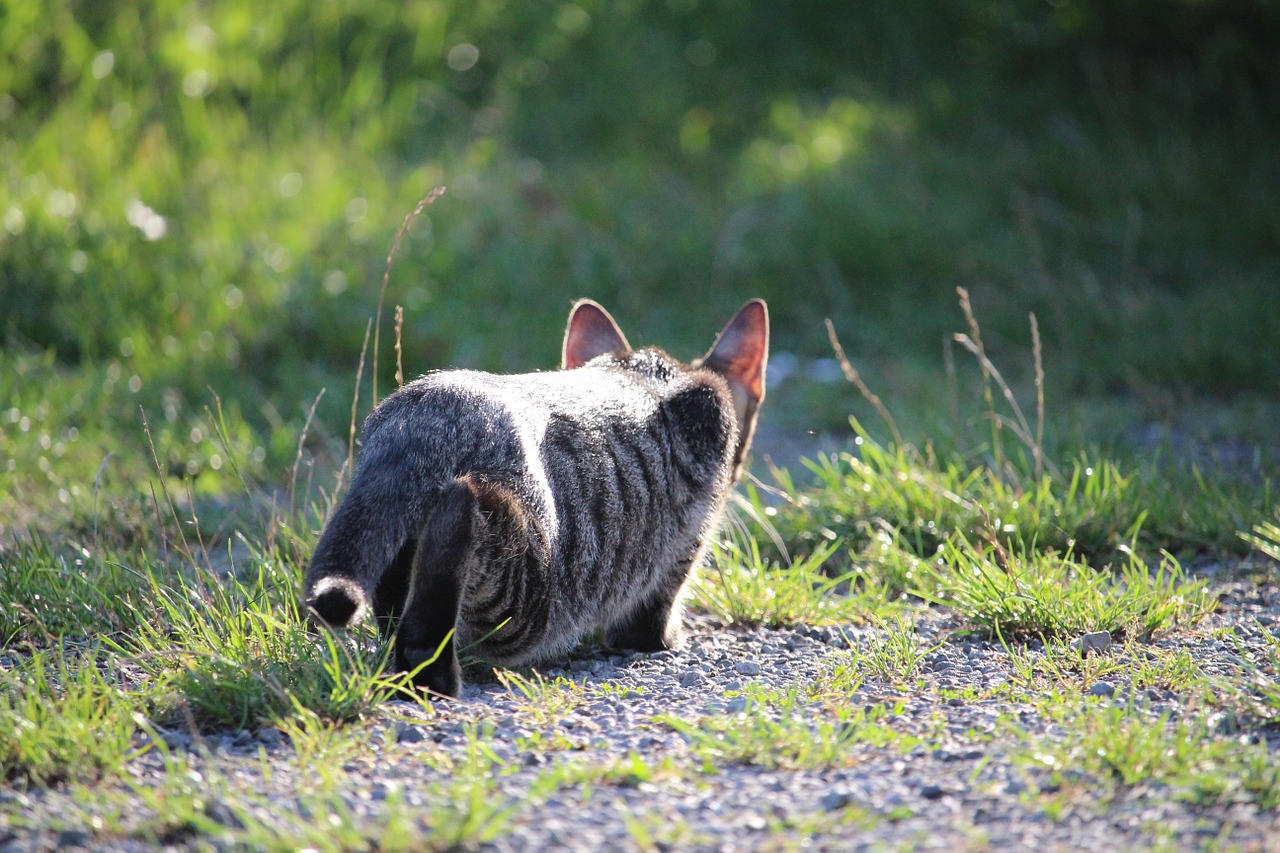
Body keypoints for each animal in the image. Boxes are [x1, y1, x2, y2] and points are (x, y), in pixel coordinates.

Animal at [307, 295, 768, 696]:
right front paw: (671, 638)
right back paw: (432, 671)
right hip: (527, 586)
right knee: (461, 519)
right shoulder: (680, 550)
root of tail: (428, 405)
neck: (648, 371)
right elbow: (653, 619)